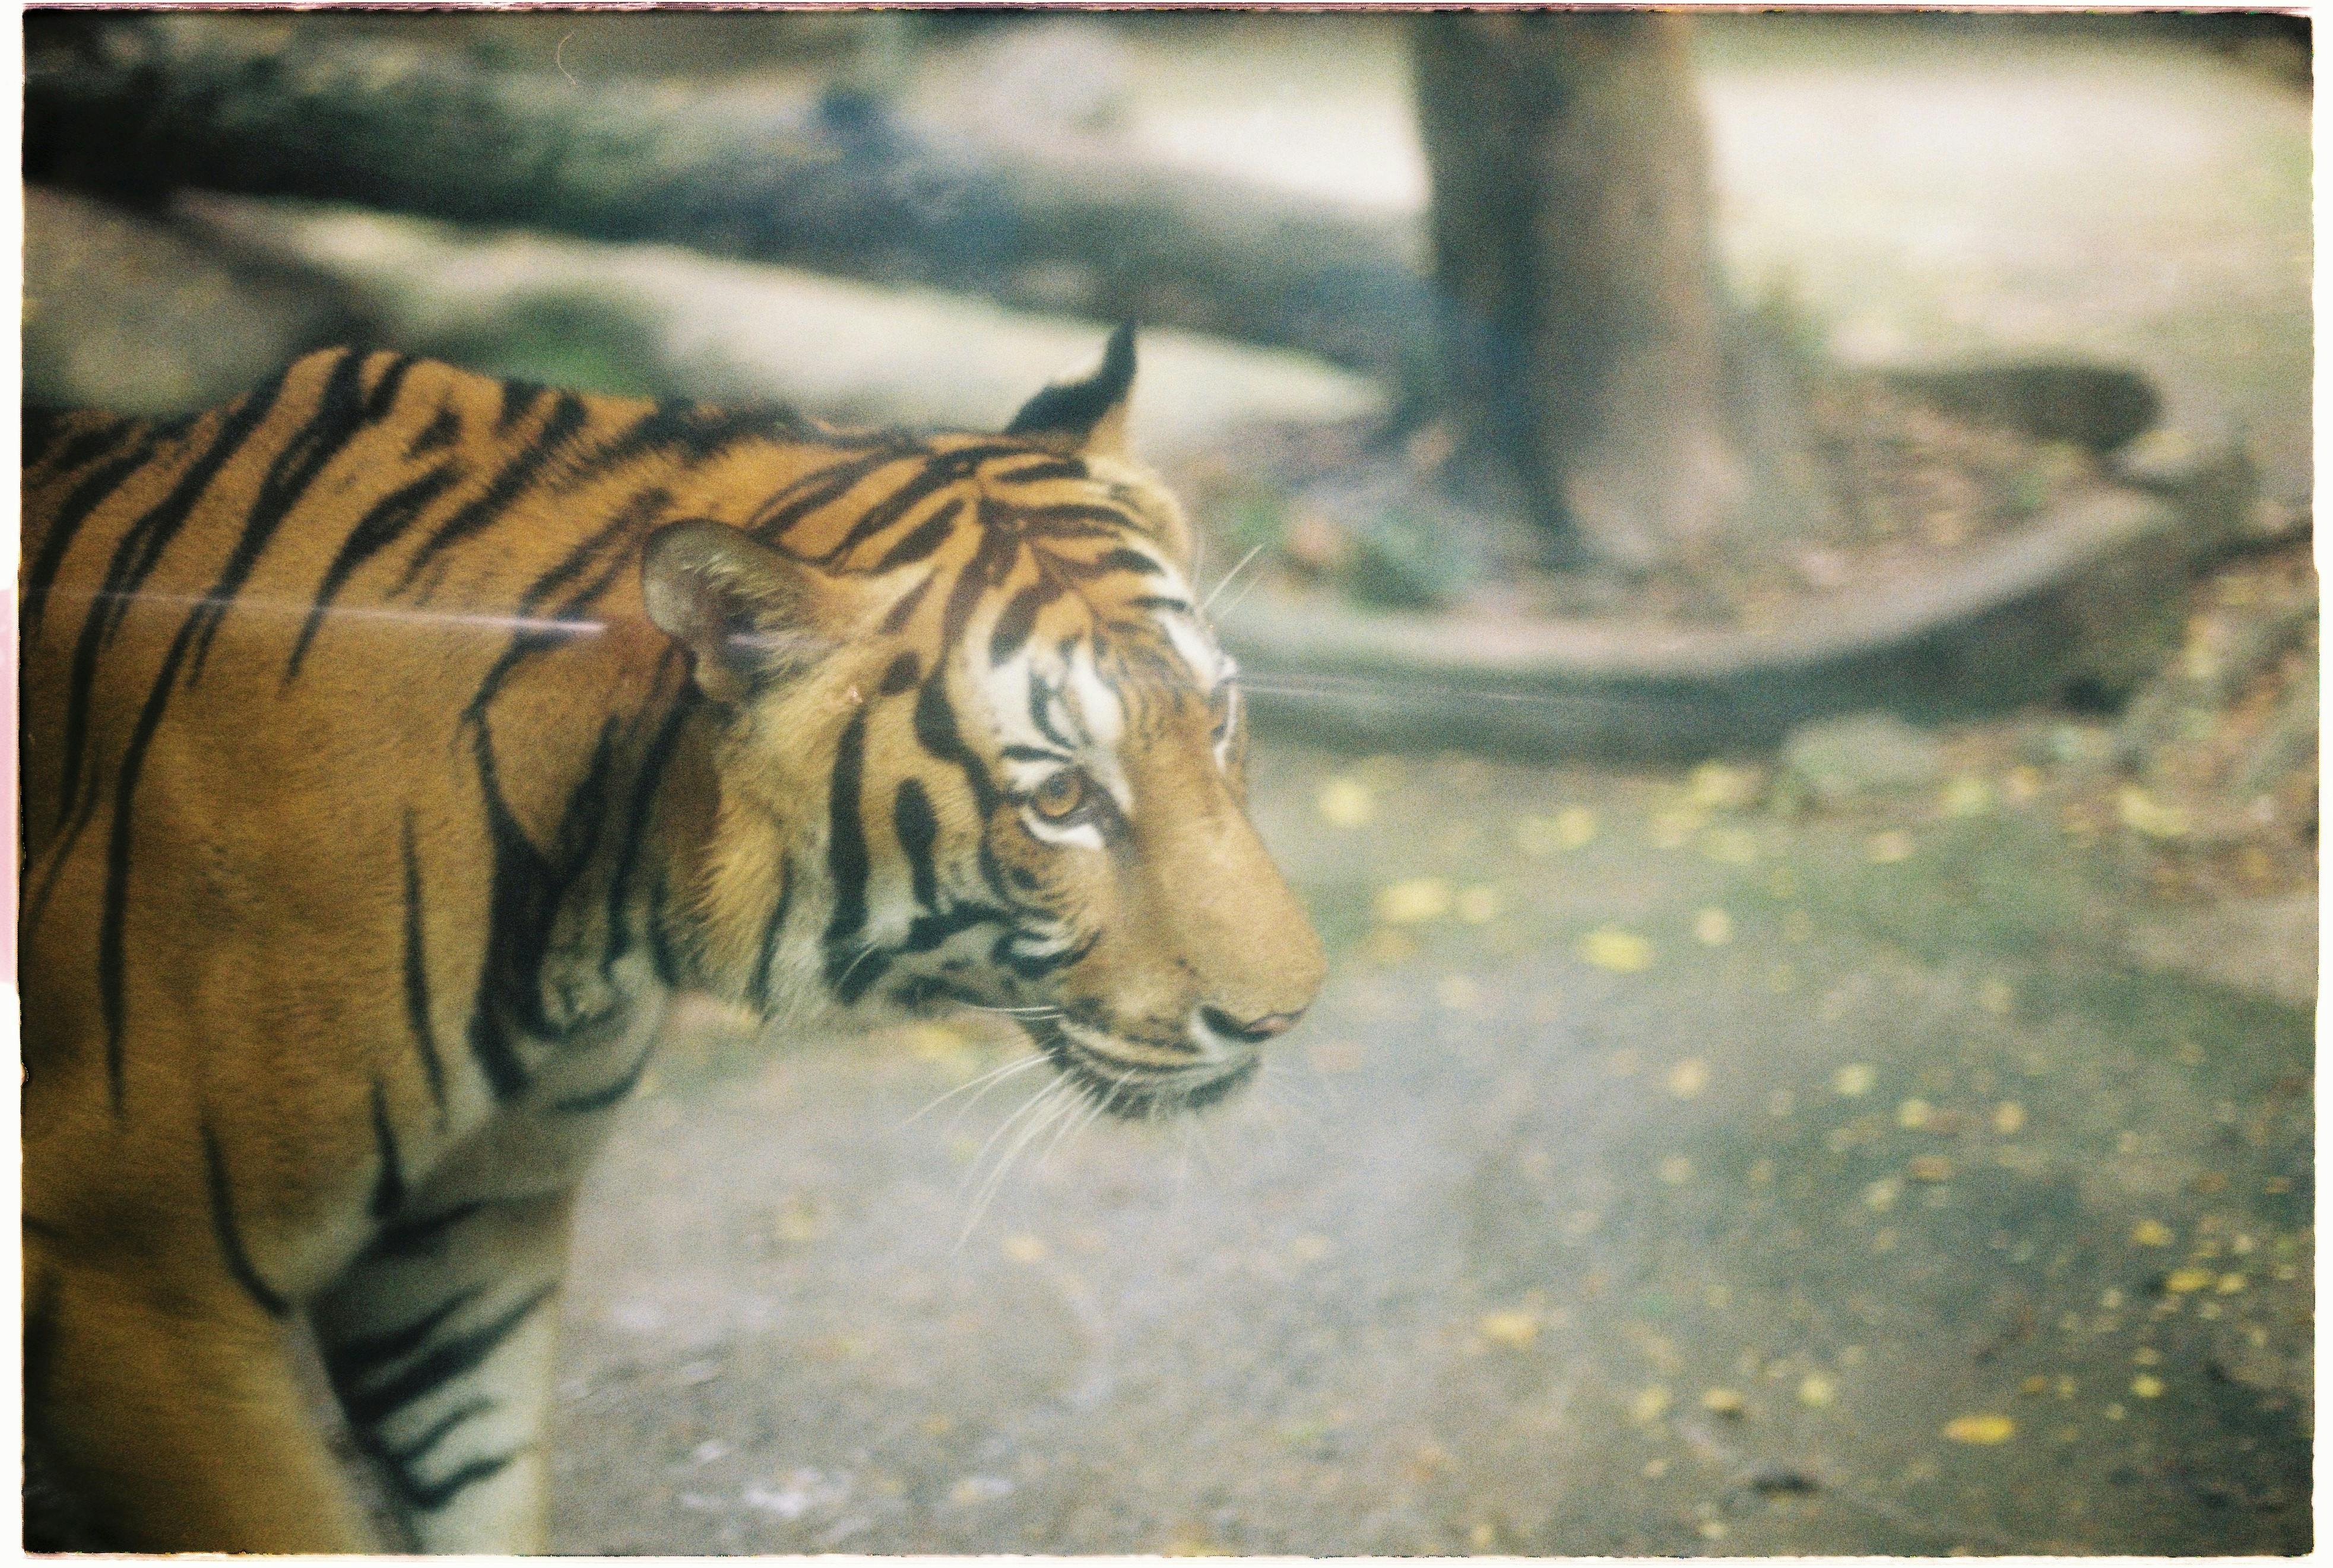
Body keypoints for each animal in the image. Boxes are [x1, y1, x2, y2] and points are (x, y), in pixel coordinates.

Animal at [18, 326, 1326, 1554]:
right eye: (1060, 799)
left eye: (1218, 716)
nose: (1287, 1012)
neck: (598, 908)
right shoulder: (126, 1270)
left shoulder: (466, 1236)